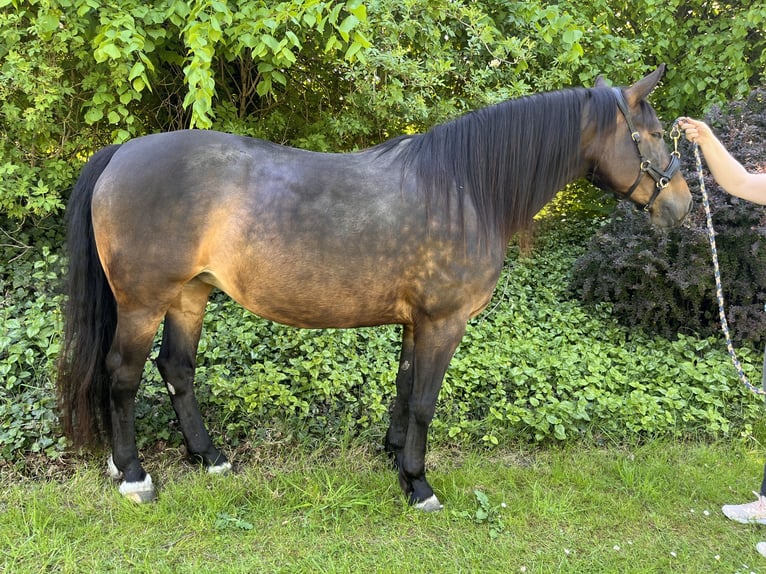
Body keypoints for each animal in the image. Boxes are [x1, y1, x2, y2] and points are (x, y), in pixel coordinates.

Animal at [57, 65, 692, 510]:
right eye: (656, 133)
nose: (684, 206)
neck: (466, 187)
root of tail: (122, 152)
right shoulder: (444, 322)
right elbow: (426, 401)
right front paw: (419, 483)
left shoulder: (416, 321)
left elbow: (405, 389)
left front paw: (395, 459)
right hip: (143, 302)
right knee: (123, 377)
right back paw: (133, 474)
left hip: (190, 294)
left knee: (177, 370)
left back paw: (209, 457)